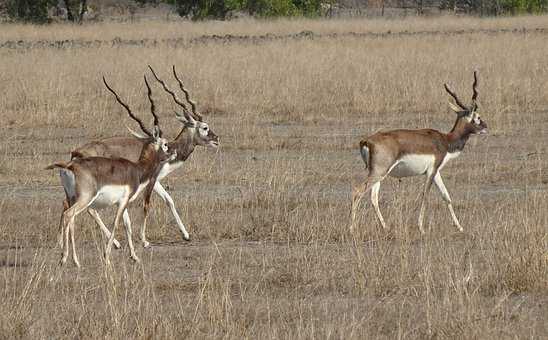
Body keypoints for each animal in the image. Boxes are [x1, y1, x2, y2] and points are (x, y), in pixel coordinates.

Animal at [47, 75, 177, 266]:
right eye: (165, 144)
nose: (174, 153)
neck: (137, 169)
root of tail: (70, 165)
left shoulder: (122, 202)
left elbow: (127, 226)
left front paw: (134, 256)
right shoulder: (123, 201)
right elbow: (116, 224)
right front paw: (107, 257)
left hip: (71, 198)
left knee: (69, 218)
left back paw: (75, 260)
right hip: (85, 199)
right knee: (69, 216)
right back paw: (65, 259)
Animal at [64, 65, 218, 247]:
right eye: (205, 127)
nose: (216, 139)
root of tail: (77, 153)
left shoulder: (156, 180)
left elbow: (169, 200)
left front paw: (186, 234)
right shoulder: (152, 179)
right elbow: (146, 204)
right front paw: (144, 240)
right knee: (89, 209)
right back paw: (116, 243)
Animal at [352, 70, 488, 232]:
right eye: (477, 117)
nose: (486, 127)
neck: (445, 140)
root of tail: (367, 141)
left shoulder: (436, 171)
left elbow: (446, 196)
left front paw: (460, 227)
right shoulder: (431, 171)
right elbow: (425, 195)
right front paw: (421, 228)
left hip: (378, 174)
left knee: (373, 198)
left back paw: (386, 227)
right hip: (379, 172)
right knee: (357, 192)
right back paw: (351, 229)